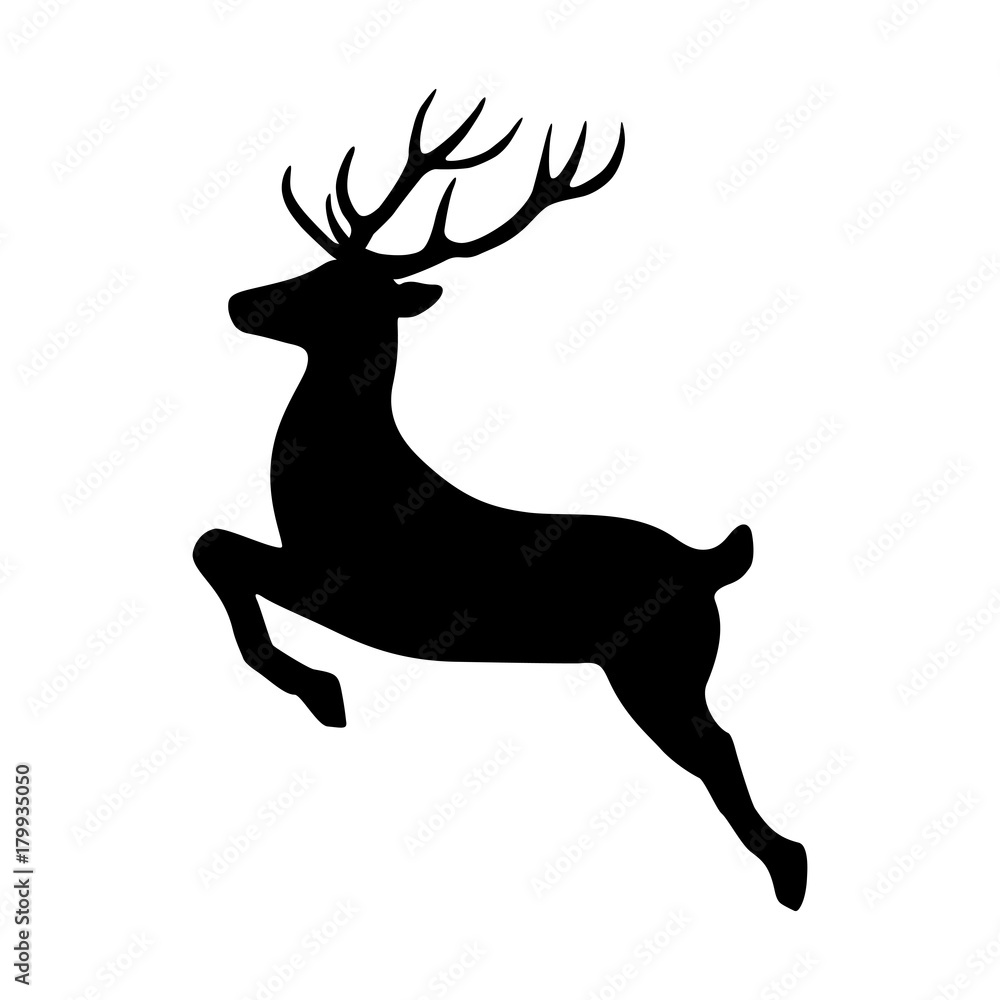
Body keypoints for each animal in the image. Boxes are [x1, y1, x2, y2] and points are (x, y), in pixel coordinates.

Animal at [193, 91, 807, 909]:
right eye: (319, 265)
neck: (338, 482)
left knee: (719, 746)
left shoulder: (355, 588)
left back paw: (790, 873)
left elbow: (215, 547)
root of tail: (713, 562)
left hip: (661, 664)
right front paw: (321, 689)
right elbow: (213, 546)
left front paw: (324, 692)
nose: (239, 300)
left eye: (333, 287)